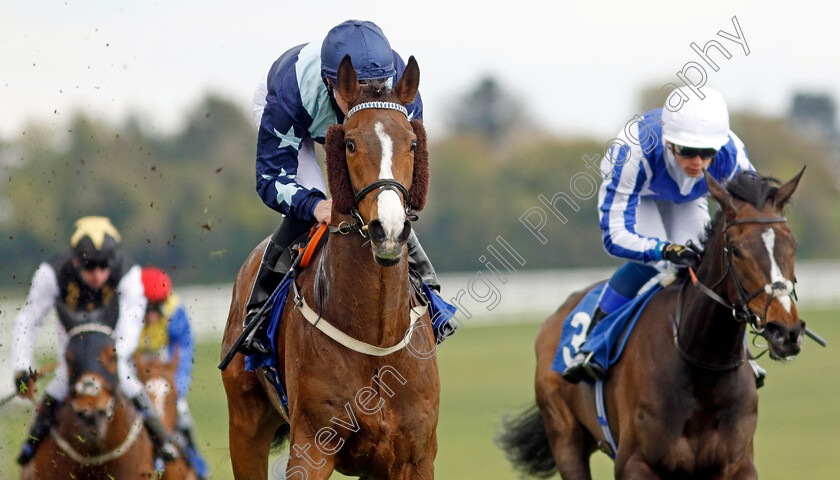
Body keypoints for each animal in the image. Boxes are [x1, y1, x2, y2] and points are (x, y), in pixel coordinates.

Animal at [220, 53, 440, 480]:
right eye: (350, 143)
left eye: (413, 142)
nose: (389, 229)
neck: (378, 340)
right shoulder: (311, 447)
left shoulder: (415, 455)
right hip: (244, 422)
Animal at [498, 170, 808, 480]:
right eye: (735, 250)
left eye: (793, 245)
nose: (785, 331)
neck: (702, 372)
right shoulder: (635, 463)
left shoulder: (737, 464)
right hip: (565, 439)